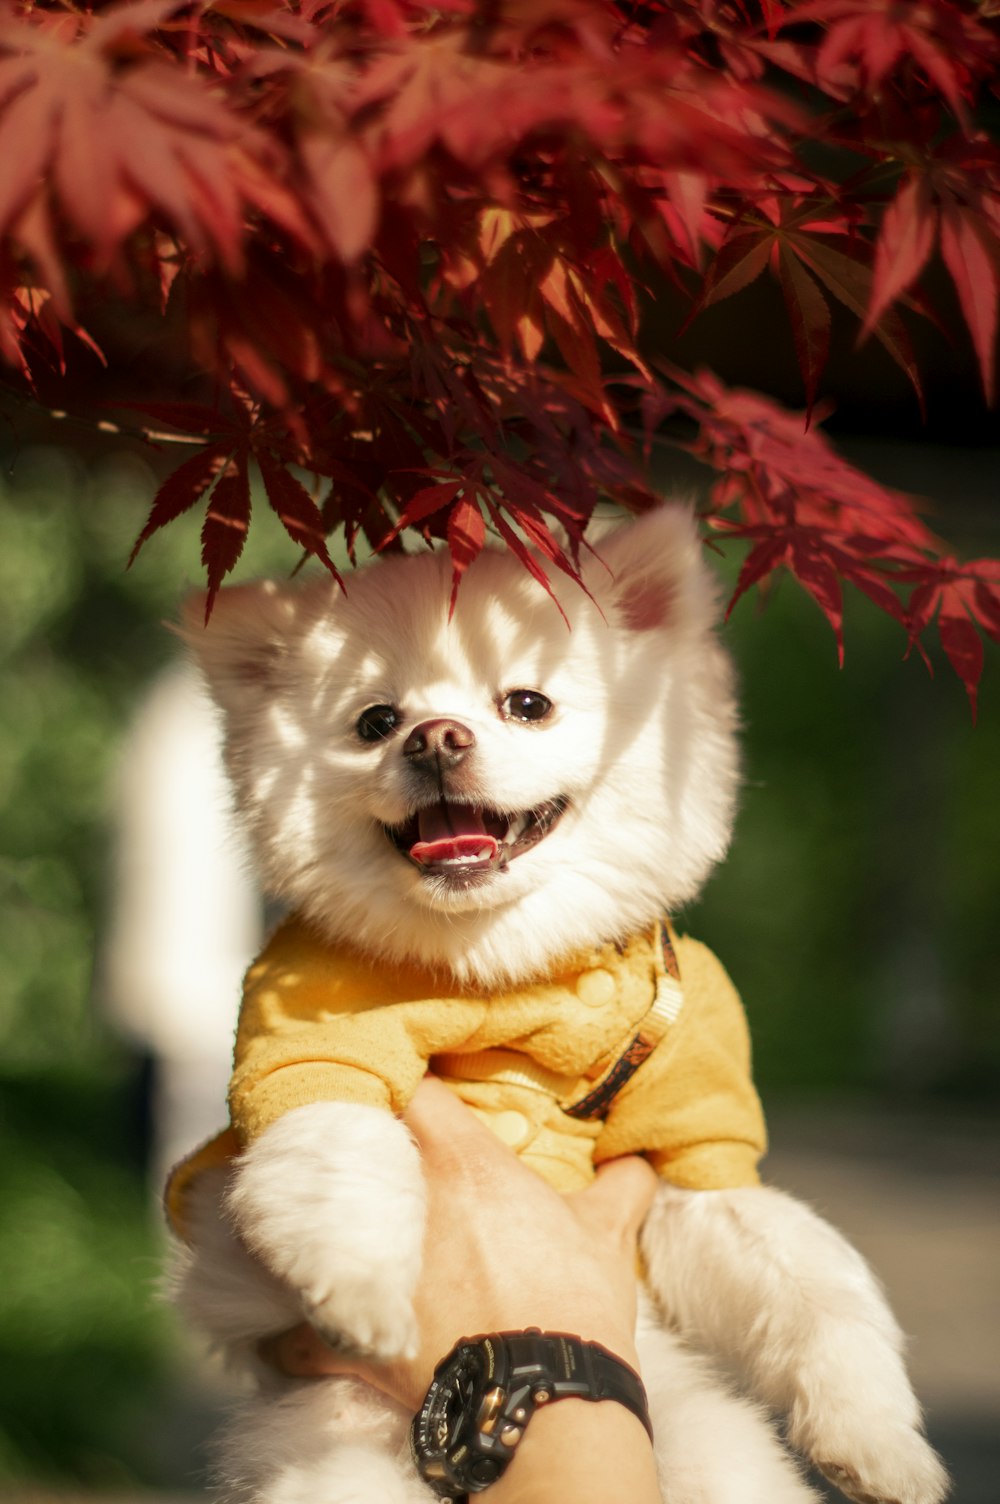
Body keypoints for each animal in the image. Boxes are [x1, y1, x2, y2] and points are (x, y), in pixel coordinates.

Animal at [167, 505, 950, 1504]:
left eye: (526, 704)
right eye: (375, 722)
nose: (434, 737)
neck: (505, 971)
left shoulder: (690, 1149)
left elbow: (815, 1275)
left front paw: (882, 1442)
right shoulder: (314, 1053)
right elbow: (347, 1168)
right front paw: (371, 1297)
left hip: (709, 1450)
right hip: (334, 1464)